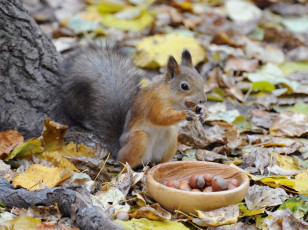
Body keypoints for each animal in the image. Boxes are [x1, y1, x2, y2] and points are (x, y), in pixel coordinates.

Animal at [59, 44, 207, 168]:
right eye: (184, 86)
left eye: (201, 79)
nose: (203, 100)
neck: (171, 97)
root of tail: (119, 148)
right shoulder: (154, 103)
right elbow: (160, 117)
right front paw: (185, 114)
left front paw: (202, 112)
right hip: (138, 140)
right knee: (125, 162)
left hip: (169, 137)